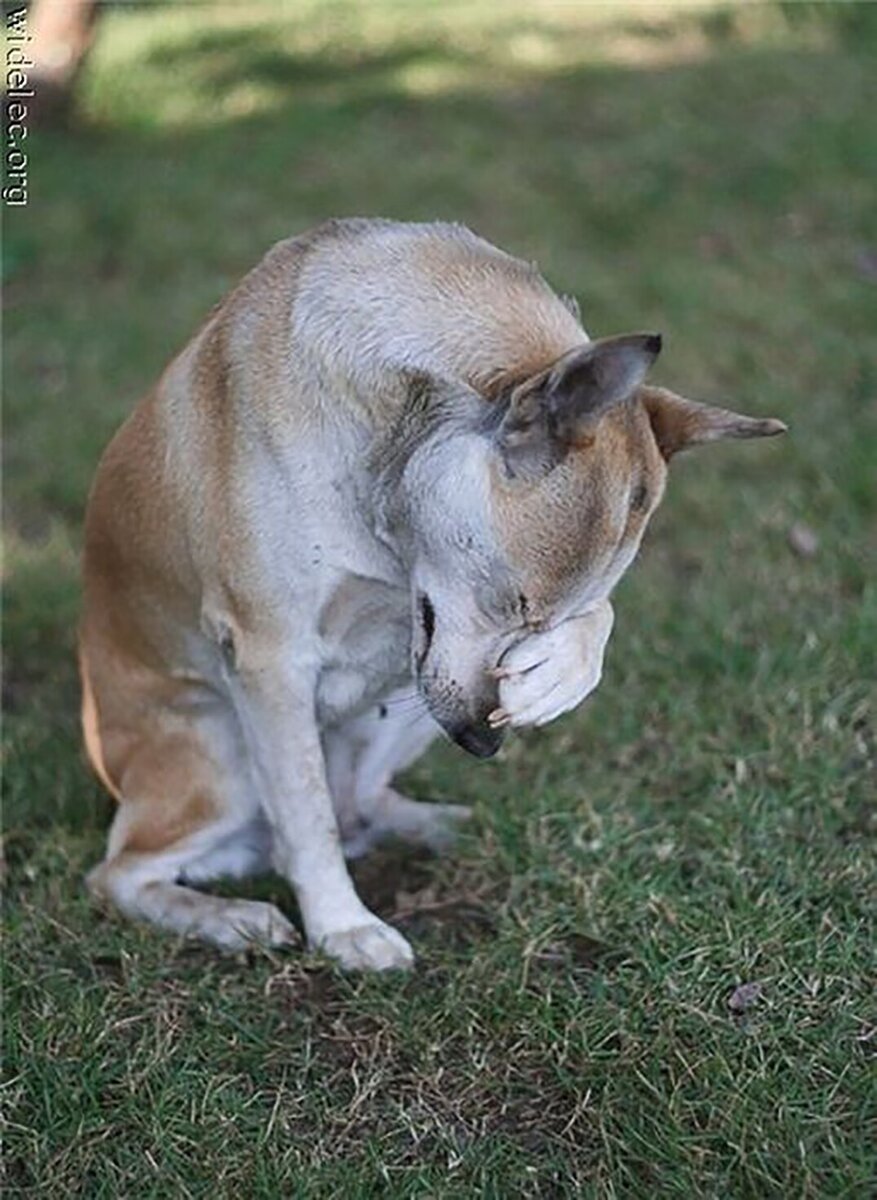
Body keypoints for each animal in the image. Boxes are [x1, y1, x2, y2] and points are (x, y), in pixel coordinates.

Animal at [79, 218, 787, 964]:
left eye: (540, 617)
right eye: (517, 602)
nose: (482, 743)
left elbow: (601, 618)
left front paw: (558, 674)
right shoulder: (270, 658)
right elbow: (306, 818)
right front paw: (342, 927)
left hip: (398, 710)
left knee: (358, 807)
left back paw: (453, 824)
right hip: (221, 760)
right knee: (125, 872)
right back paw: (230, 919)